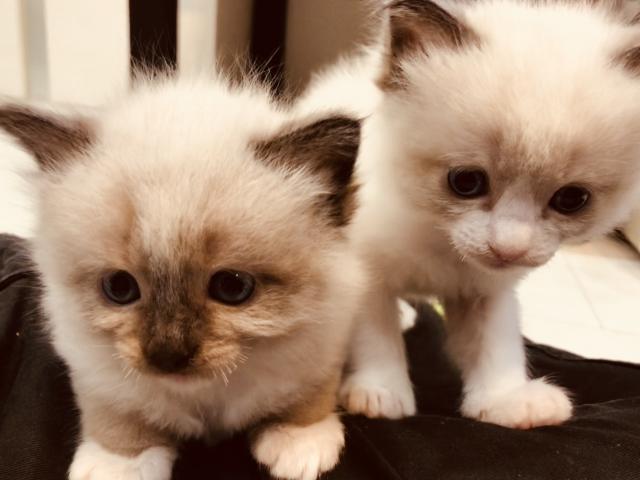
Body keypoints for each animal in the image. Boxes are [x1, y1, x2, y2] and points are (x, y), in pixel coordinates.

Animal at [0, 76, 365, 480]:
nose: (167, 355)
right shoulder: (97, 371)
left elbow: (309, 395)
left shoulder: (321, 343)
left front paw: (299, 441)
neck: (207, 399)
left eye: (232, 287)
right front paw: (120, 464)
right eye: (119, 288)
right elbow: (117, 417)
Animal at [298, 0, 640, 427]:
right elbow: (376, 337)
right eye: (466, 182)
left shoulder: (488, 292)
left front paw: (506, 400)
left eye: (571, 199)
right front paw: (380, 392)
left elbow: (496, 345)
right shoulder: (368, 274)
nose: (509, 248)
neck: (441, 242)